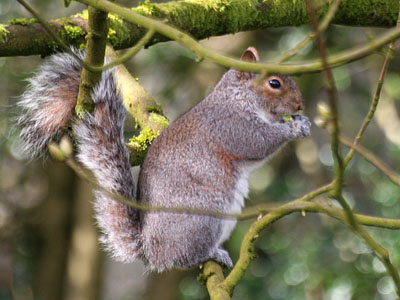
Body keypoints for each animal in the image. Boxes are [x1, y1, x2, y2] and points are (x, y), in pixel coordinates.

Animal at [17, 46, 310, 272]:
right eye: (274, 83)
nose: (300, 106)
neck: (238, 96)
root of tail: (150, 251)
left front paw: (301, 120)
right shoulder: (231, 125)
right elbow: (259, 142)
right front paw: (294, 127)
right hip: (204, 217)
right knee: (182, 258)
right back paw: (211, 254)